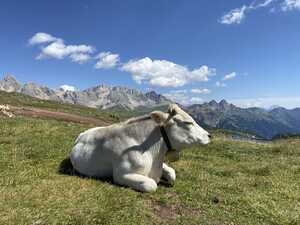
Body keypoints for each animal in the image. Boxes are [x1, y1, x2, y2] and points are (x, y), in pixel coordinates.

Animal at [70, 104, 211, 192]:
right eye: (188, 122)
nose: (210, 135)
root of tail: (81, 134)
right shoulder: (121, 175)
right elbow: (152, 185)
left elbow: (172, 174)